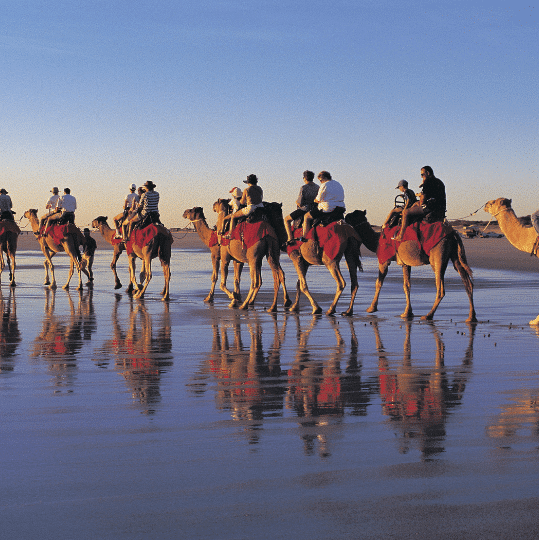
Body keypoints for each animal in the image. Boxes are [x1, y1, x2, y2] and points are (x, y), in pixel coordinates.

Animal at [346, 210, 476, 320]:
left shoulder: (383, 260)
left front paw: (371, 308)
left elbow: (378, 282)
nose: (346, 215)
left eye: (354, 215)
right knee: (466, 281)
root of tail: (453, 233)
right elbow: (407, 285)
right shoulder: (405, 263)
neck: (377, 239)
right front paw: (407, 313)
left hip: (438, 253)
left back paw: (428, 315)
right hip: (455, 254)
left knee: (440, 288)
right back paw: (471, 317)